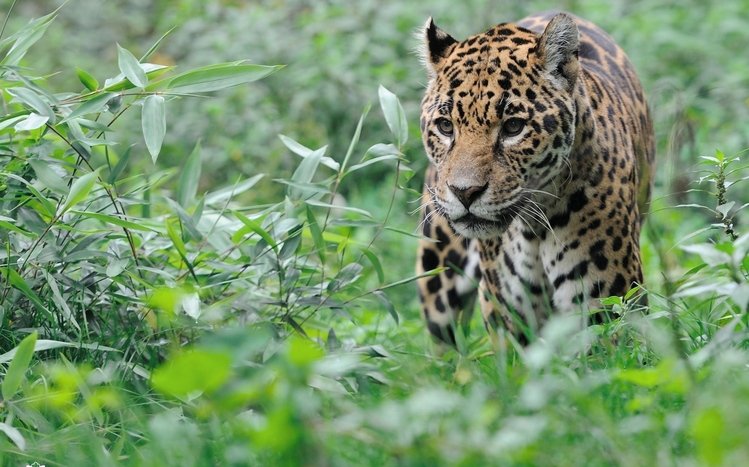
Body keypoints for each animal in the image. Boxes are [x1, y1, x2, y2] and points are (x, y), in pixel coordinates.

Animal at [415, 12, 655, 345]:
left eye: (513, 127)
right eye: (445, 126)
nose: (465, 193)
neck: (533, 228)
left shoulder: (611, 305)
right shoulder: (506, 314)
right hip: (438, 277)